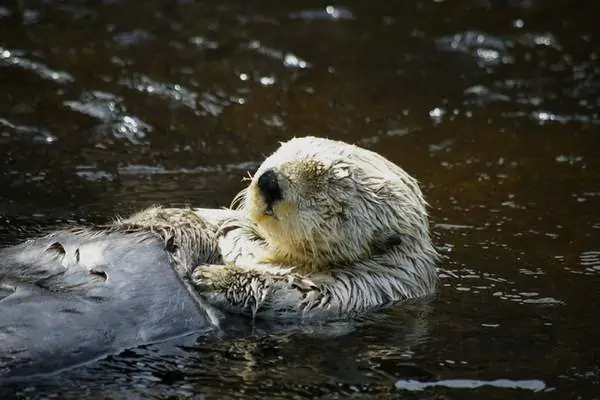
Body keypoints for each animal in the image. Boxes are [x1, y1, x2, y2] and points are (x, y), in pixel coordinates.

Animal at [0, 137, 436, 378]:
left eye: (332, 190)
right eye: (282, 151)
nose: (269, 181)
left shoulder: (367, 286)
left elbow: (300, 293)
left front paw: (213, 278)